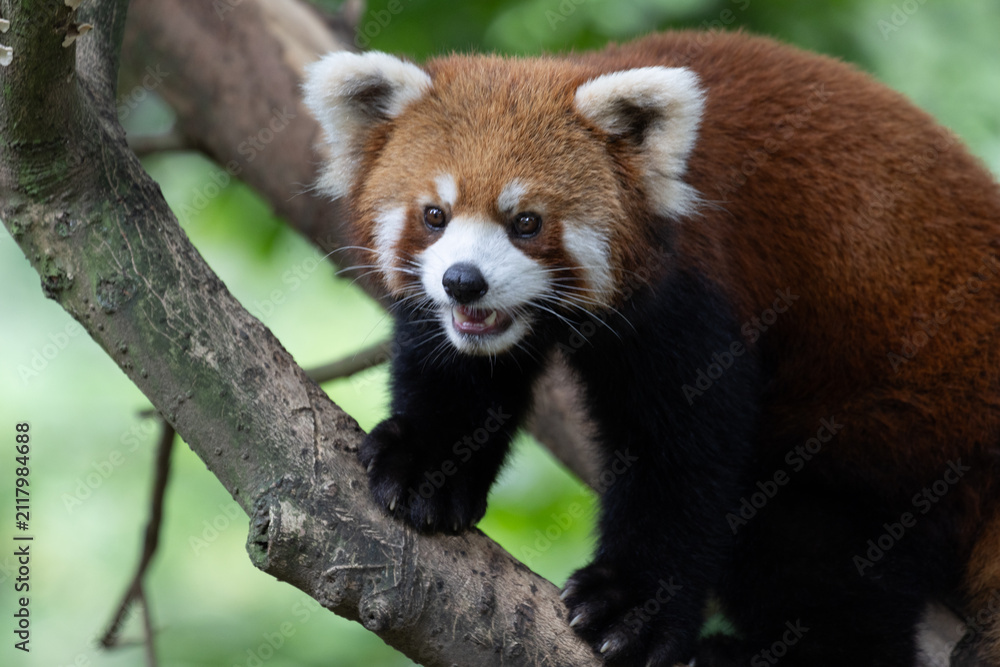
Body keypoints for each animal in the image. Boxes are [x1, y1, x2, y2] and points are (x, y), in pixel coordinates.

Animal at [302, 30, 1000, 666]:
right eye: (435, 216)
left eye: (526, 222)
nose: (463, 281)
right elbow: (457, 377)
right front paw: (427, 463)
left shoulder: (693, 295)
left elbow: (680, 459)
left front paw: (631, 606)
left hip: (898, 425)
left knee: (813, 542)